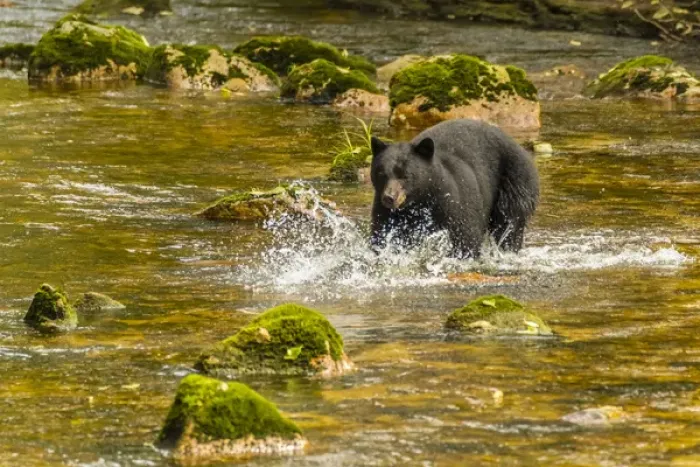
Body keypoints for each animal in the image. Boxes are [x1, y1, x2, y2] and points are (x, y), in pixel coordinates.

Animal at [370, 119, 539, 258]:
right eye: (381, 174)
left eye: (405, 175)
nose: (389, 198)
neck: (421, 200)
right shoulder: (386, 213)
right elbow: (383, 236)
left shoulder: (454, 201)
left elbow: (466, 236)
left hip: (515, 180)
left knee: (509, 224)